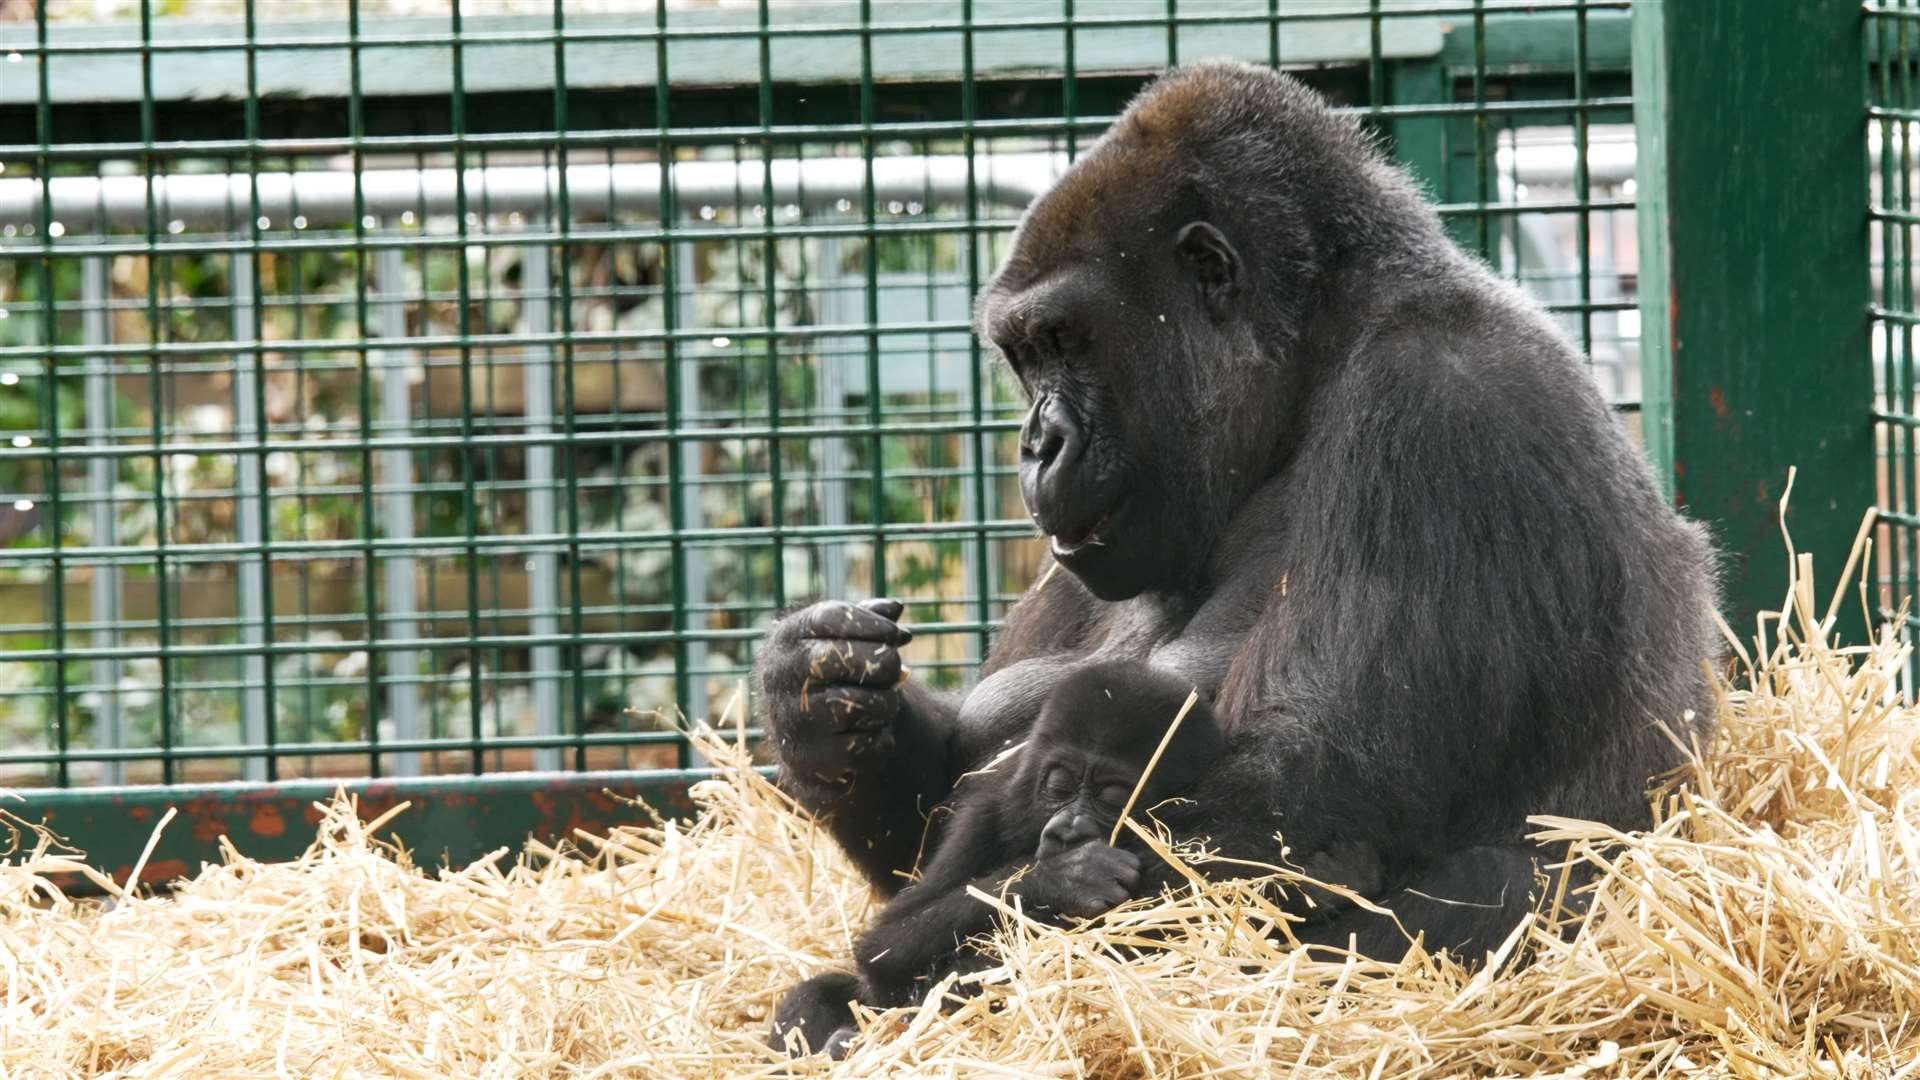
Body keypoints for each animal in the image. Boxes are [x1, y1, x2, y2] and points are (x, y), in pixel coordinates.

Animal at [756, 62, 1720, 953]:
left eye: (1067, 341)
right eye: (1025, 357)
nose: (1037, 445)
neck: (1315, 368)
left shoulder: (1442, 406)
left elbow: (1292, 806)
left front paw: (1044, 888)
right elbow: (938, 815)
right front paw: (817, 695)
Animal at [771, 661, 1221, 1053]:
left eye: (1113, 798)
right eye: (1059, 785)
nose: (1068, 831)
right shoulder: (986, 811)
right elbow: (886, 944)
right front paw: (1065, 877)